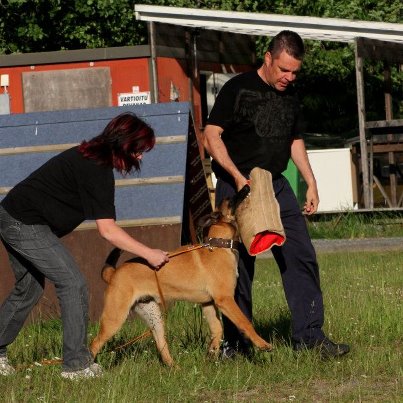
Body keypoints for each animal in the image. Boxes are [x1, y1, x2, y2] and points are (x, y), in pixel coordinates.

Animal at [91, 199, 274, 366]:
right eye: (231, 200)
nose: (246, 188)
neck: (219, 245)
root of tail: (114, 273)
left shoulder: (208, 303)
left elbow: (217, 329)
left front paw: (211, 354)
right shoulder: (225, 300)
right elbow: (245, 322)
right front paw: (262, 344)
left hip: (154, 316)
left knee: (162, 345)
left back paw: (174, 368)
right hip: (115, 318)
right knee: (94, 344)